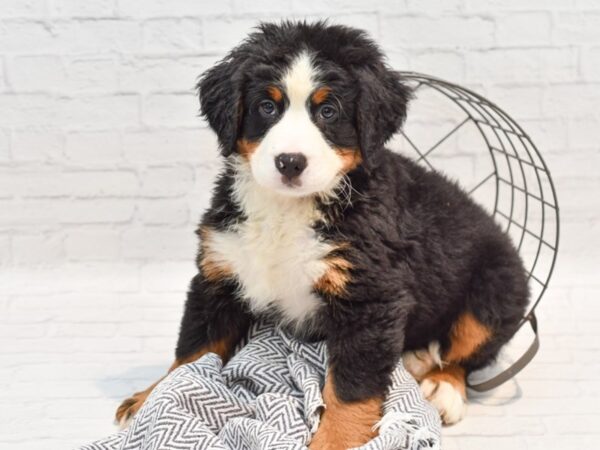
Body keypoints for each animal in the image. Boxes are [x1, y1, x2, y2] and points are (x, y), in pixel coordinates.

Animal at [115, 20, 528, 446]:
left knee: (469, 351)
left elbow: (350, 387)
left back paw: (442, 385)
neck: (287, 210)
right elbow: (193, 350)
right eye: (267, 107)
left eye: (328, 111)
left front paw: (335, 441)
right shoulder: (221, 270)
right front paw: (151, 399)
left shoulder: (370, 298)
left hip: (497, 288)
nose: (290, 162)